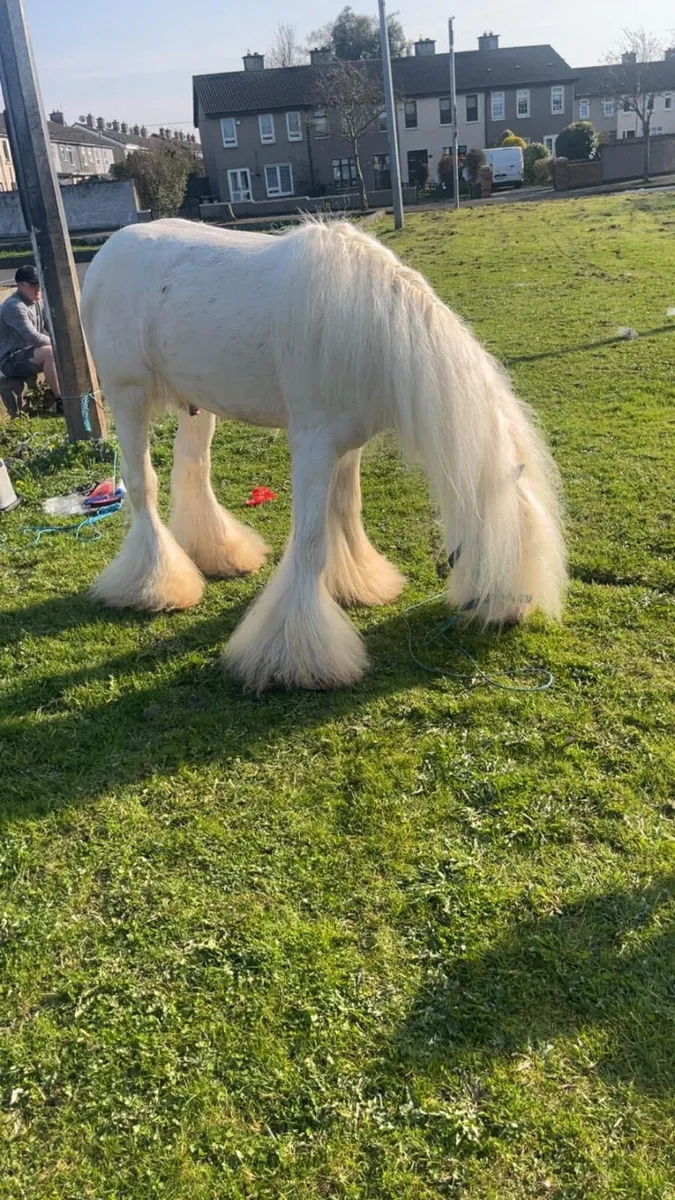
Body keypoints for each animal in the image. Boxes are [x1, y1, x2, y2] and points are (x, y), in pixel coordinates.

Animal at [81, 217, 566, 692]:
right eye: (510, 547)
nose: (512, 616)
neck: (376, 328)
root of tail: (108, 252)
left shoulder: (347, 445)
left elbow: (345, 512)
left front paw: (359, 583)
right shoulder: (313, 444)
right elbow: (311, 543)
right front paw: (296, 657)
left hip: (196, 405)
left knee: (192, 470)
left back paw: (218, 553)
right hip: (129, 397)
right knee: (143, 486)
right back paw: (156, 586)